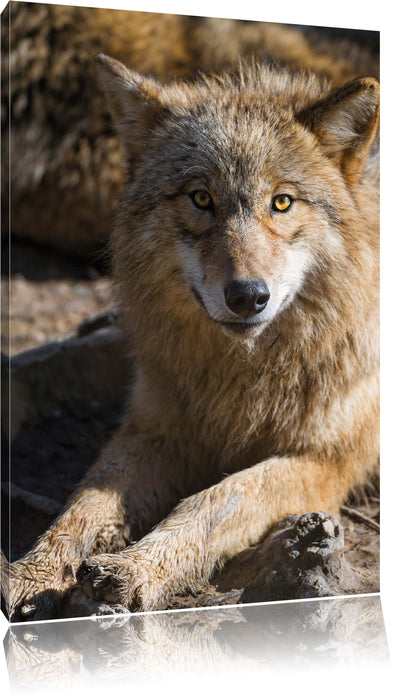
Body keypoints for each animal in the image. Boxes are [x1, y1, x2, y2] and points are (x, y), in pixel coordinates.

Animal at [5, 51, 379, 620]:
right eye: (201, 198)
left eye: (282, 203)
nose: (247, 296)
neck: (241, 376)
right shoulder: (156, 428)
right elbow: (84, 502)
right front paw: (36, 569)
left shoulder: (323, 462)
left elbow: (217, 500)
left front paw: (135, 567)